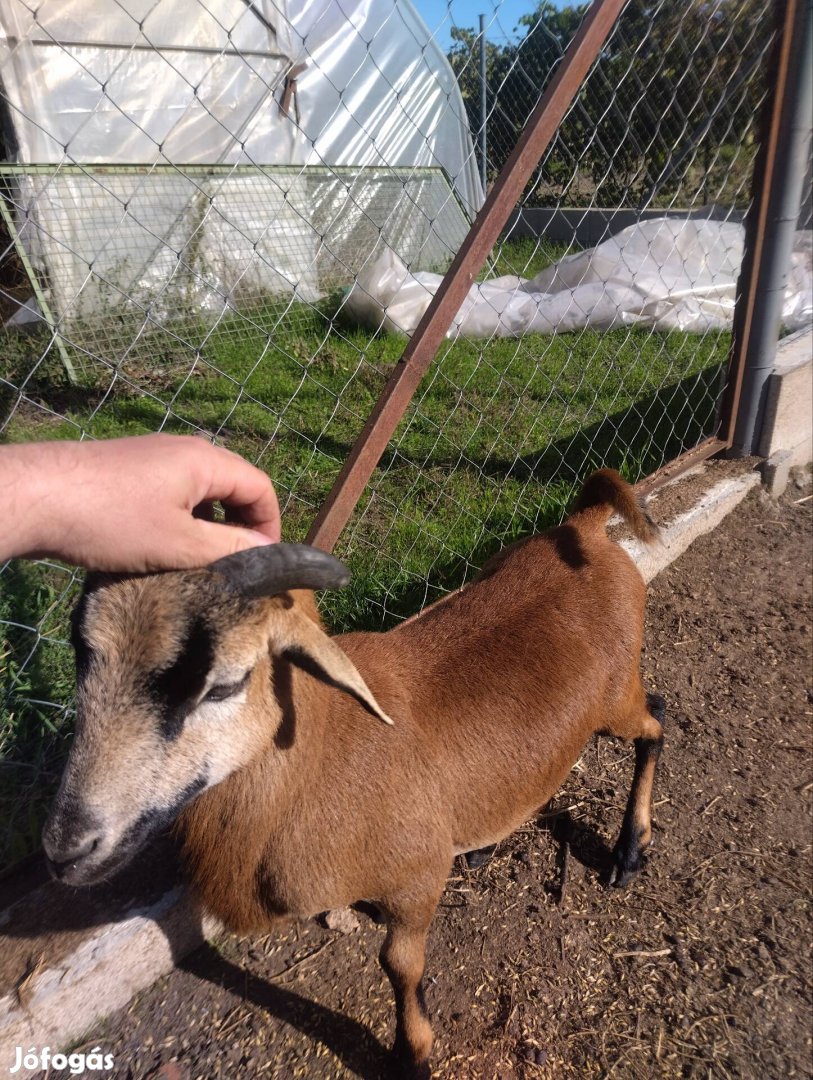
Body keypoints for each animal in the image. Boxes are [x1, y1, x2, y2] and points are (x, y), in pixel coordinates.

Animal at [45, 468, 665, 1075]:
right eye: (83, 657)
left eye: (225, 683)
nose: (66, 848)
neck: (320, 753)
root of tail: (585, 529)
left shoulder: (417, 881)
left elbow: (399, 963)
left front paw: (412, 1053)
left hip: (615, 700)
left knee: (655, 723)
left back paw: (629, 852)